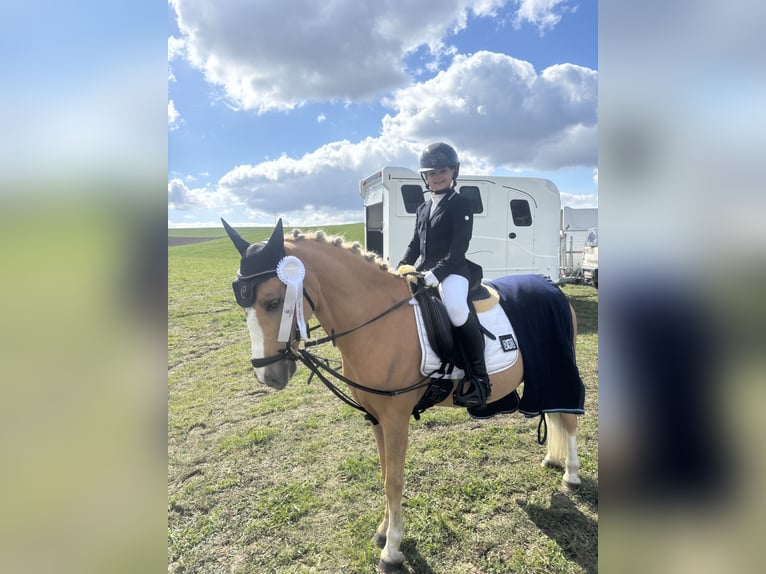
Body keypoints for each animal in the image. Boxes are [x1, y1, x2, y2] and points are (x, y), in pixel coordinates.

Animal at [222, 218, 584, 573]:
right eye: (245, 306)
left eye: (272, 302)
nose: (267, 375)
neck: (376, 320)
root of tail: (551, 288)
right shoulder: (375, 418)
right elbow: (384, 475)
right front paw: (383, 533)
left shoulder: (396, 419)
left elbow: (393, 481)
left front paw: (392, 551)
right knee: (554, 412)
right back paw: (554, 459)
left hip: (560, 366)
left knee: (568, 418)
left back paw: (571, 475)